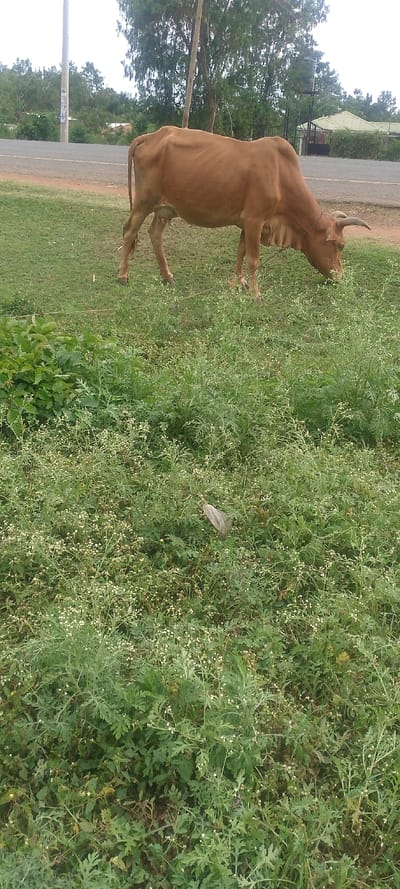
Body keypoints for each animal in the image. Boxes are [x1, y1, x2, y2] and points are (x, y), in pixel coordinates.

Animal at [118, 126, 370, 299]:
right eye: (340, 246)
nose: (340, 277)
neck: (280, 176)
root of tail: (151, 136)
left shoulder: (246, 224)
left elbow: (240, 252)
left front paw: (238, 283)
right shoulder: (254, 220)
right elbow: (253, 259)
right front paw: (256, 295)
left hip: (165, 209)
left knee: (155, 234)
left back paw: (167, 276)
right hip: (143, 202)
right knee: (129, 230)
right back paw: (123, 276)